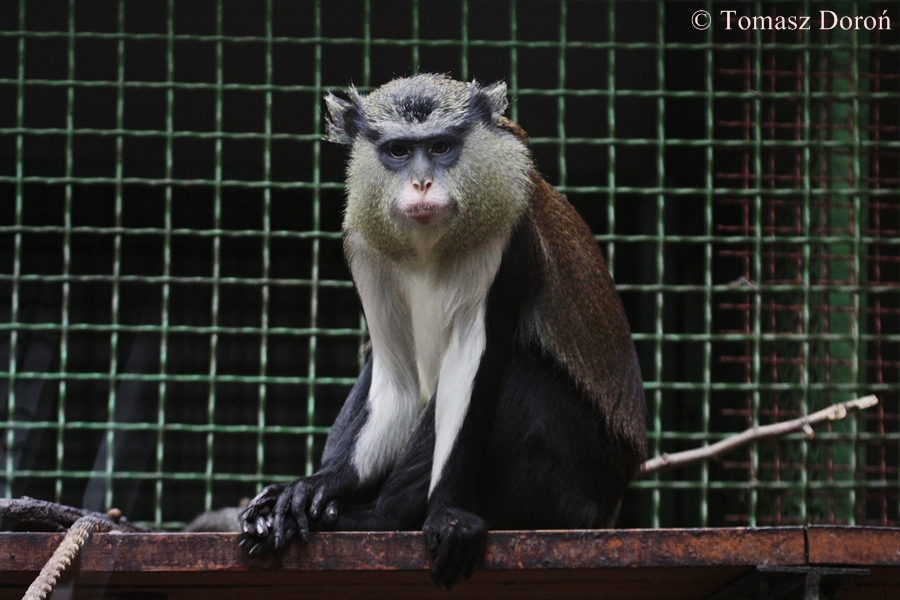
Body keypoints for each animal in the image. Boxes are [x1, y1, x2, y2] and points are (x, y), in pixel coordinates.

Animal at [239, 73, 646, 589]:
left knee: (519, 369)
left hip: (575, 489)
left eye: (440, 147)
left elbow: (470, 363)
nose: (421, 182)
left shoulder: (507, 237)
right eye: (398, 151)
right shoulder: (365, 244)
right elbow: (395, 376)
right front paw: (320, 485)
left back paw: (377, 518)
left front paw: (433, 516)